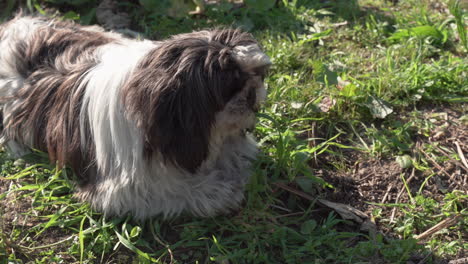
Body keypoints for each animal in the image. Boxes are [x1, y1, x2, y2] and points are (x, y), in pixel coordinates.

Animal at [0, 15, 270, 220]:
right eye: (231, 85)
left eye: (257, 74)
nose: (251, 92)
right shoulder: (122, 190)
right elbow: (172, 189)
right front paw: (217, 190)